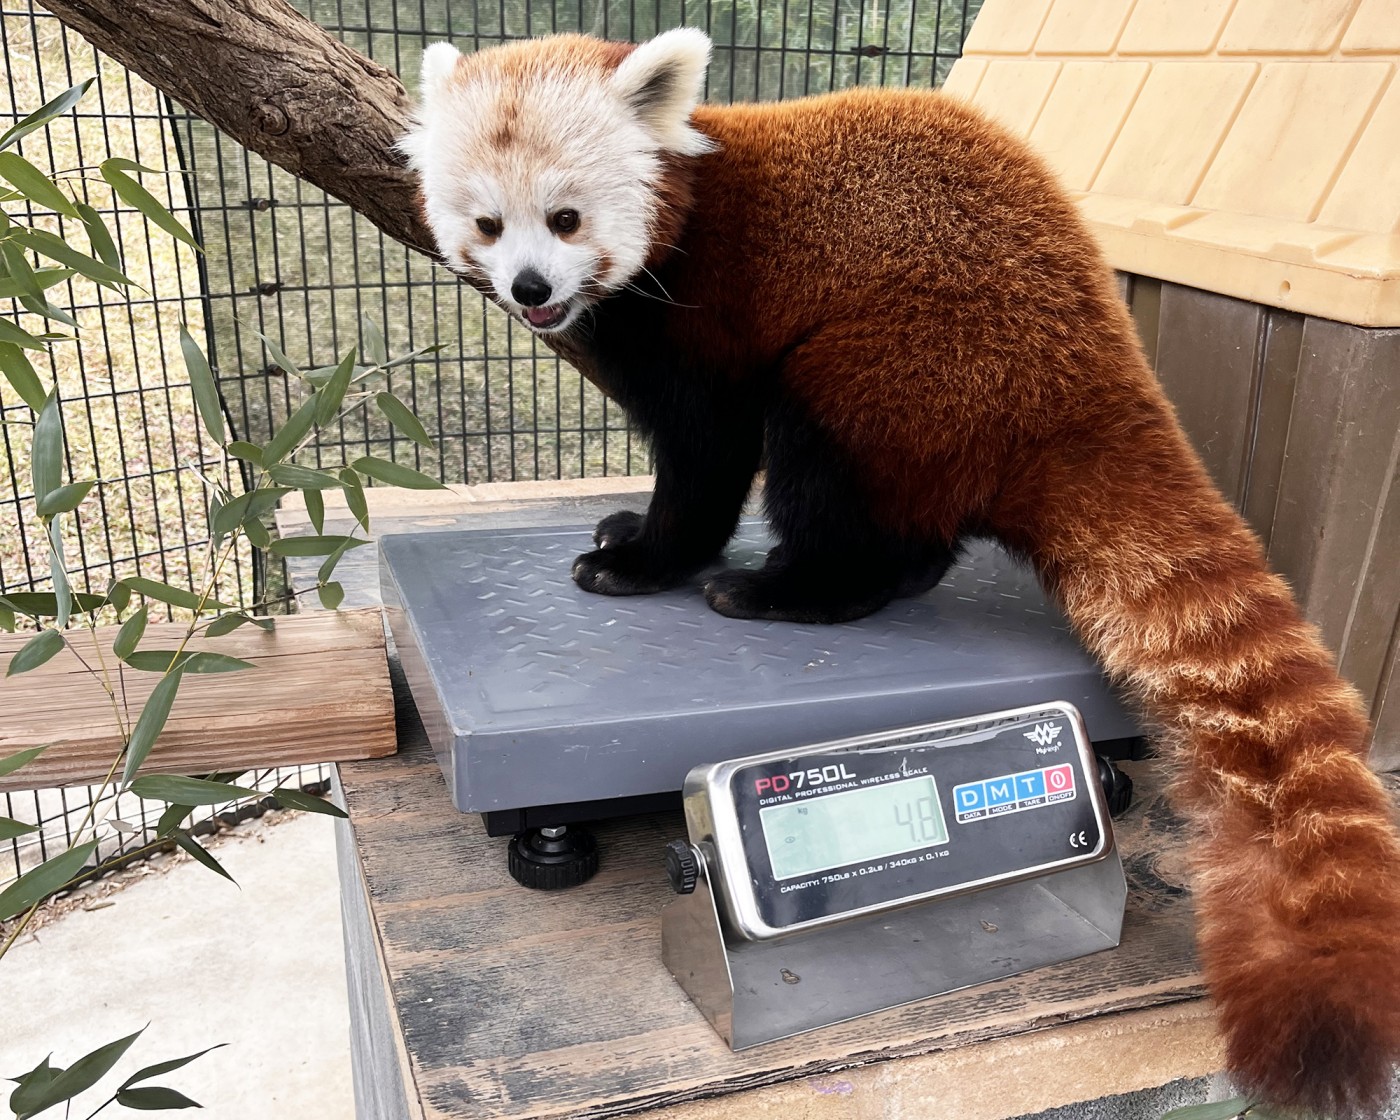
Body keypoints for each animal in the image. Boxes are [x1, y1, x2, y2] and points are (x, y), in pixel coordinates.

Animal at [403, 28, 1400, 1120]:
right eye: (488, 225)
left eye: (566, 219)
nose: (532, 290)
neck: (688, 211)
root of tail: (1094, 366)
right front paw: (627, 525)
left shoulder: (709, 316)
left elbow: (707, 455)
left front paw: (642, 560)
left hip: (896, 361)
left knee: (828, 460)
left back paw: (786, 590)